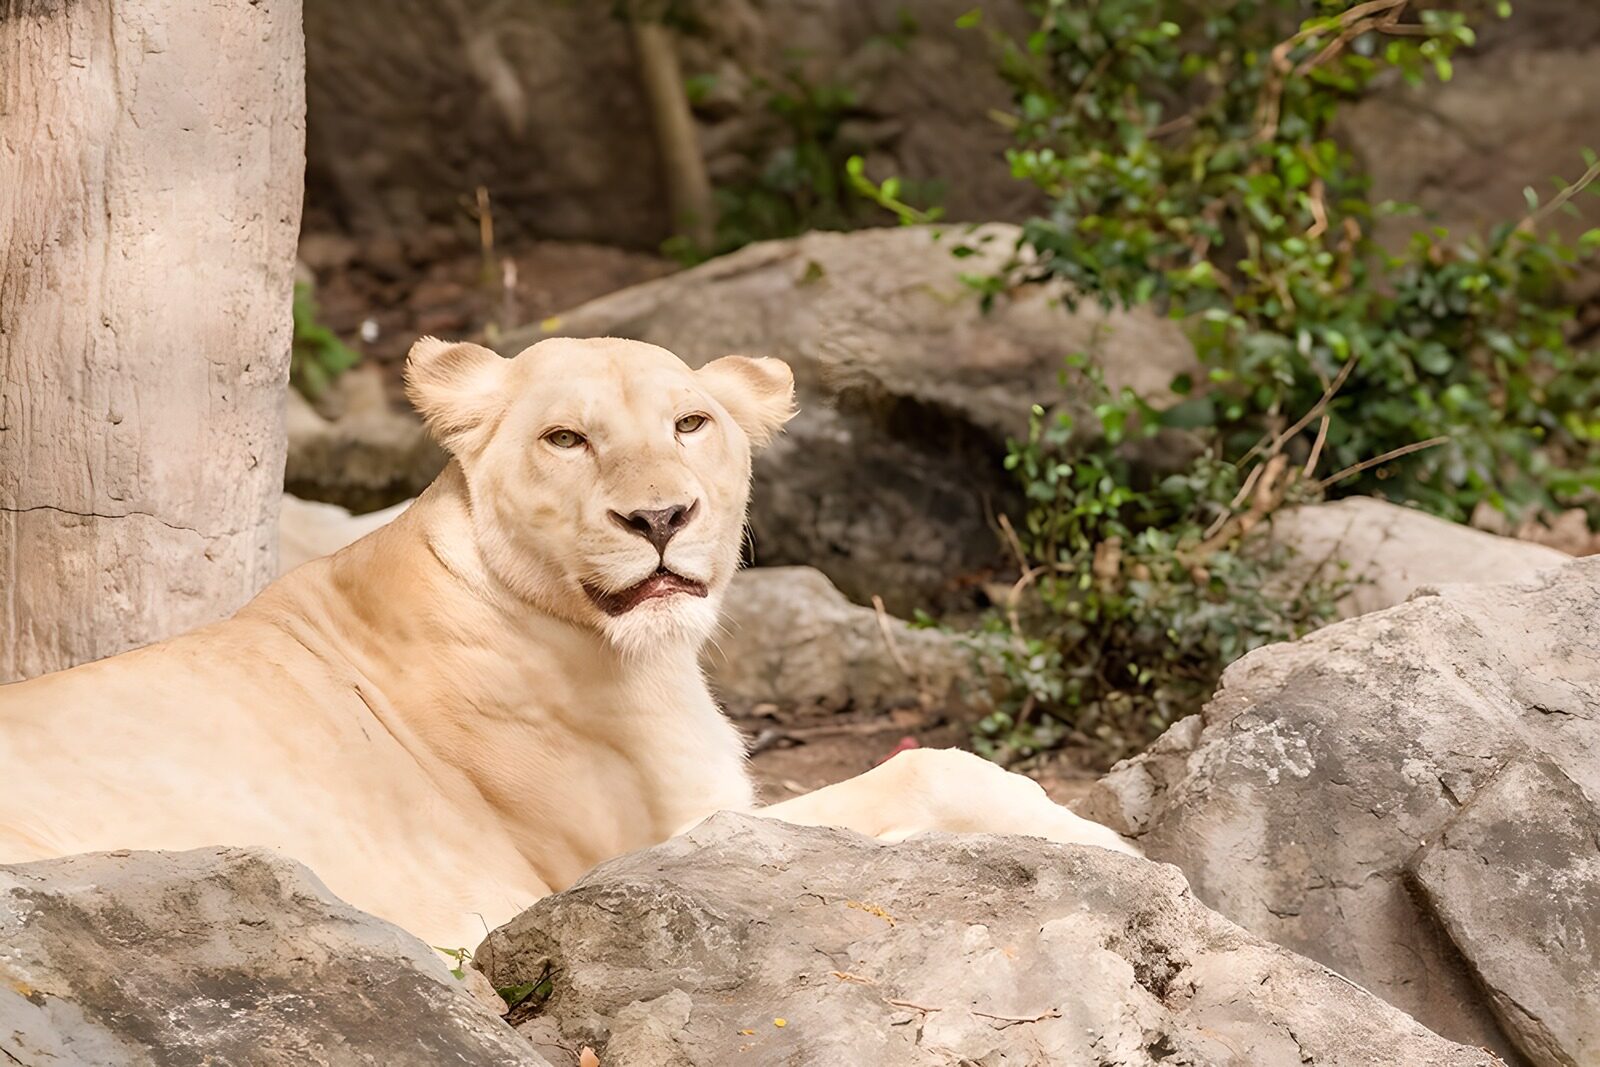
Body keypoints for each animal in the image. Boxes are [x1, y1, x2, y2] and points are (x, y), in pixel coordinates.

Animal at [0, 337, 1136, 950]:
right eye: (566, 439)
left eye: (690, 424)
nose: (661, 517)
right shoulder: (649, 853)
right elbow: (927, 768)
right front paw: (1107, 847)